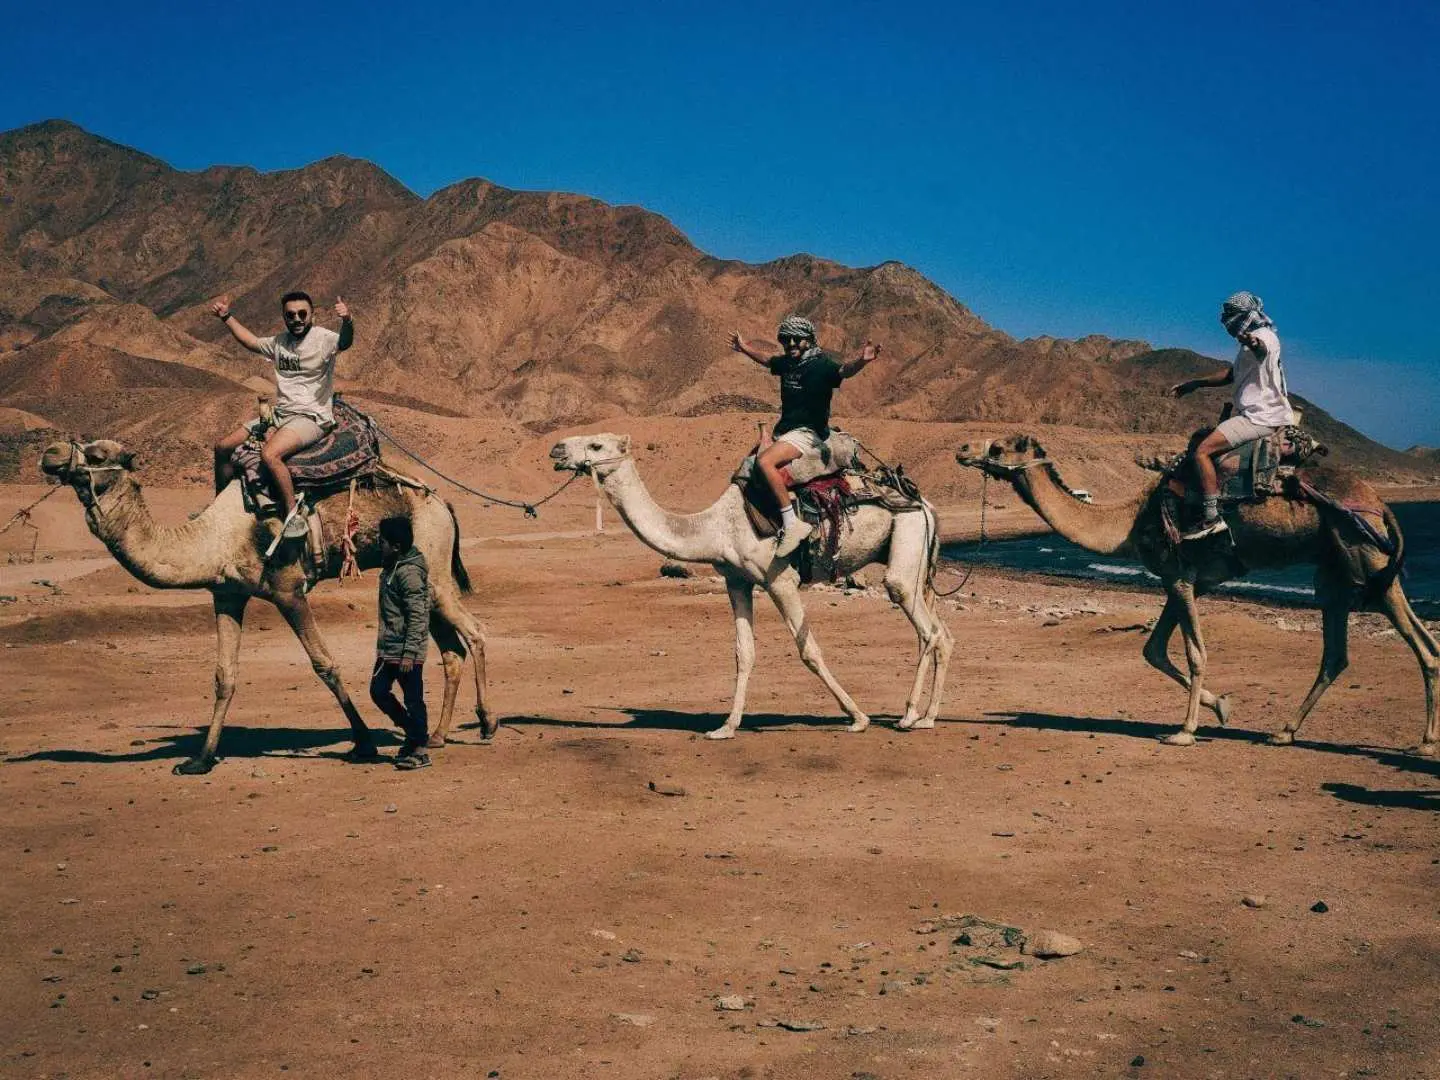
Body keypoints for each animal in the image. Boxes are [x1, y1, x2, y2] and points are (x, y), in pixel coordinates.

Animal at [39, 438, 493, 774]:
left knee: (474, 632)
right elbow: (224, 676)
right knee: (451, 649)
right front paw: (200, 760)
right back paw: (436, 735)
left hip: (434, 562)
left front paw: (364, 742)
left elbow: (325, 664)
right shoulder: (227, 594)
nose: (51, 453)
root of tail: (443, 504)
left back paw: (487, 722)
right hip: (425, 576)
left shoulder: (288, 589)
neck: (214, 539)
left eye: (98, 455)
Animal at [549, 433, 954, 737]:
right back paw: (929, 716)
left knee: (923, 624)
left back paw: (908, 715)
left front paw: (858, 717)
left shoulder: (780, 579)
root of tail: (924, 502)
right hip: (916, 558)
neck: (715, 528)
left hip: (907, 539)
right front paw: (726, 727)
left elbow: (809, 650)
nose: (556, 449)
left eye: (597, 445)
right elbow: (744, 652)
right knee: (942, 634)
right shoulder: (737, 581)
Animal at [955, 434, 1438, 754]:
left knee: (1422, 646)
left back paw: (1424, 743)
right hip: (1339, 574)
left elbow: (1194, 652)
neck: (1130, 521)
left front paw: (1185, 730)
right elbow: (1152, 649)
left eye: (998, 448)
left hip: (1365, 559)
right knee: (1341, 654)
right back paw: (1283, 731)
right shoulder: (1183, 580)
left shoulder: (1181, 579)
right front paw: (1221, 706)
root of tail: (1380, 501)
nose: (962, 451)